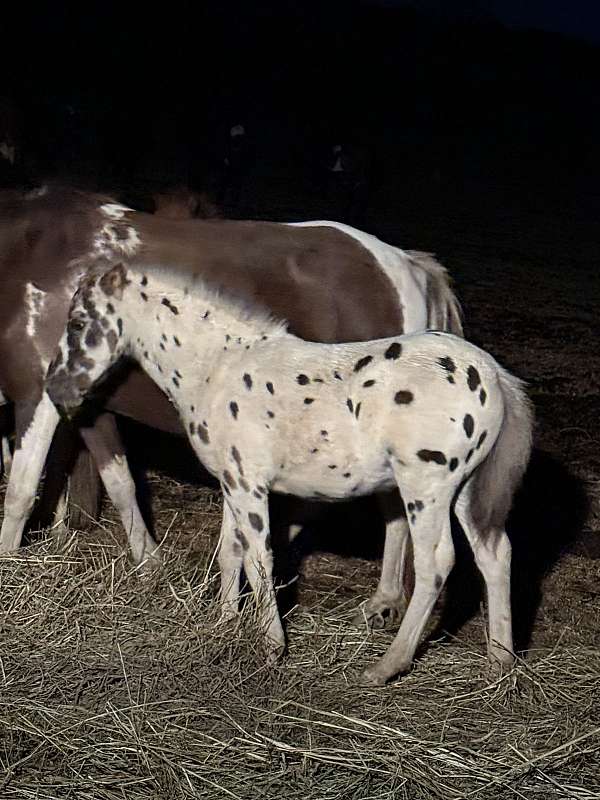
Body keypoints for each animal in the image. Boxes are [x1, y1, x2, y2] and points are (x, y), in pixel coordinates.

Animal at [0, 185, 462, 626]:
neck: (28, 254)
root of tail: (407, 266)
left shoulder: (38, 396)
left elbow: (19, 493)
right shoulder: (86, 405)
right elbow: (121, 484)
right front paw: (151, 564)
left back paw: (383, 601)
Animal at [46, 262, 533, 685]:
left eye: (77, 323)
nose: (55, 387)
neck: (218, 366)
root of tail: (493, 375)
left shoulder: (249, 486)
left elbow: (260, 559)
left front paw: (271, 647)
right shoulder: (232, 482)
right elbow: (231, 553)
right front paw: (222, 624)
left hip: (426, 487)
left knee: (436, 564)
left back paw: (386, 666)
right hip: (466, 490)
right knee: (496, 555)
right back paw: (499, 663)